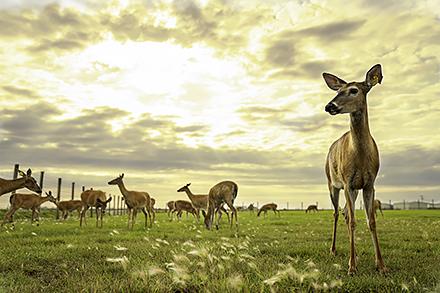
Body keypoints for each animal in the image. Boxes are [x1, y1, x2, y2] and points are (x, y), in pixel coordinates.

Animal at [324, 64, 386, 274]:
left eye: (353, 90)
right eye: (338, 91)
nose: (329, 106)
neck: (360, 157)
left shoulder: (369, 184)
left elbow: (371, 221)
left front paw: (381, 265)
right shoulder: (347, 182)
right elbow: (352, 221)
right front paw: (351, 267)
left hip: (353, 189)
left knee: (344, 212)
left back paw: (356, 255)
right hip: (332, 184)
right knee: (337, 213)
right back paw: (334, 250)